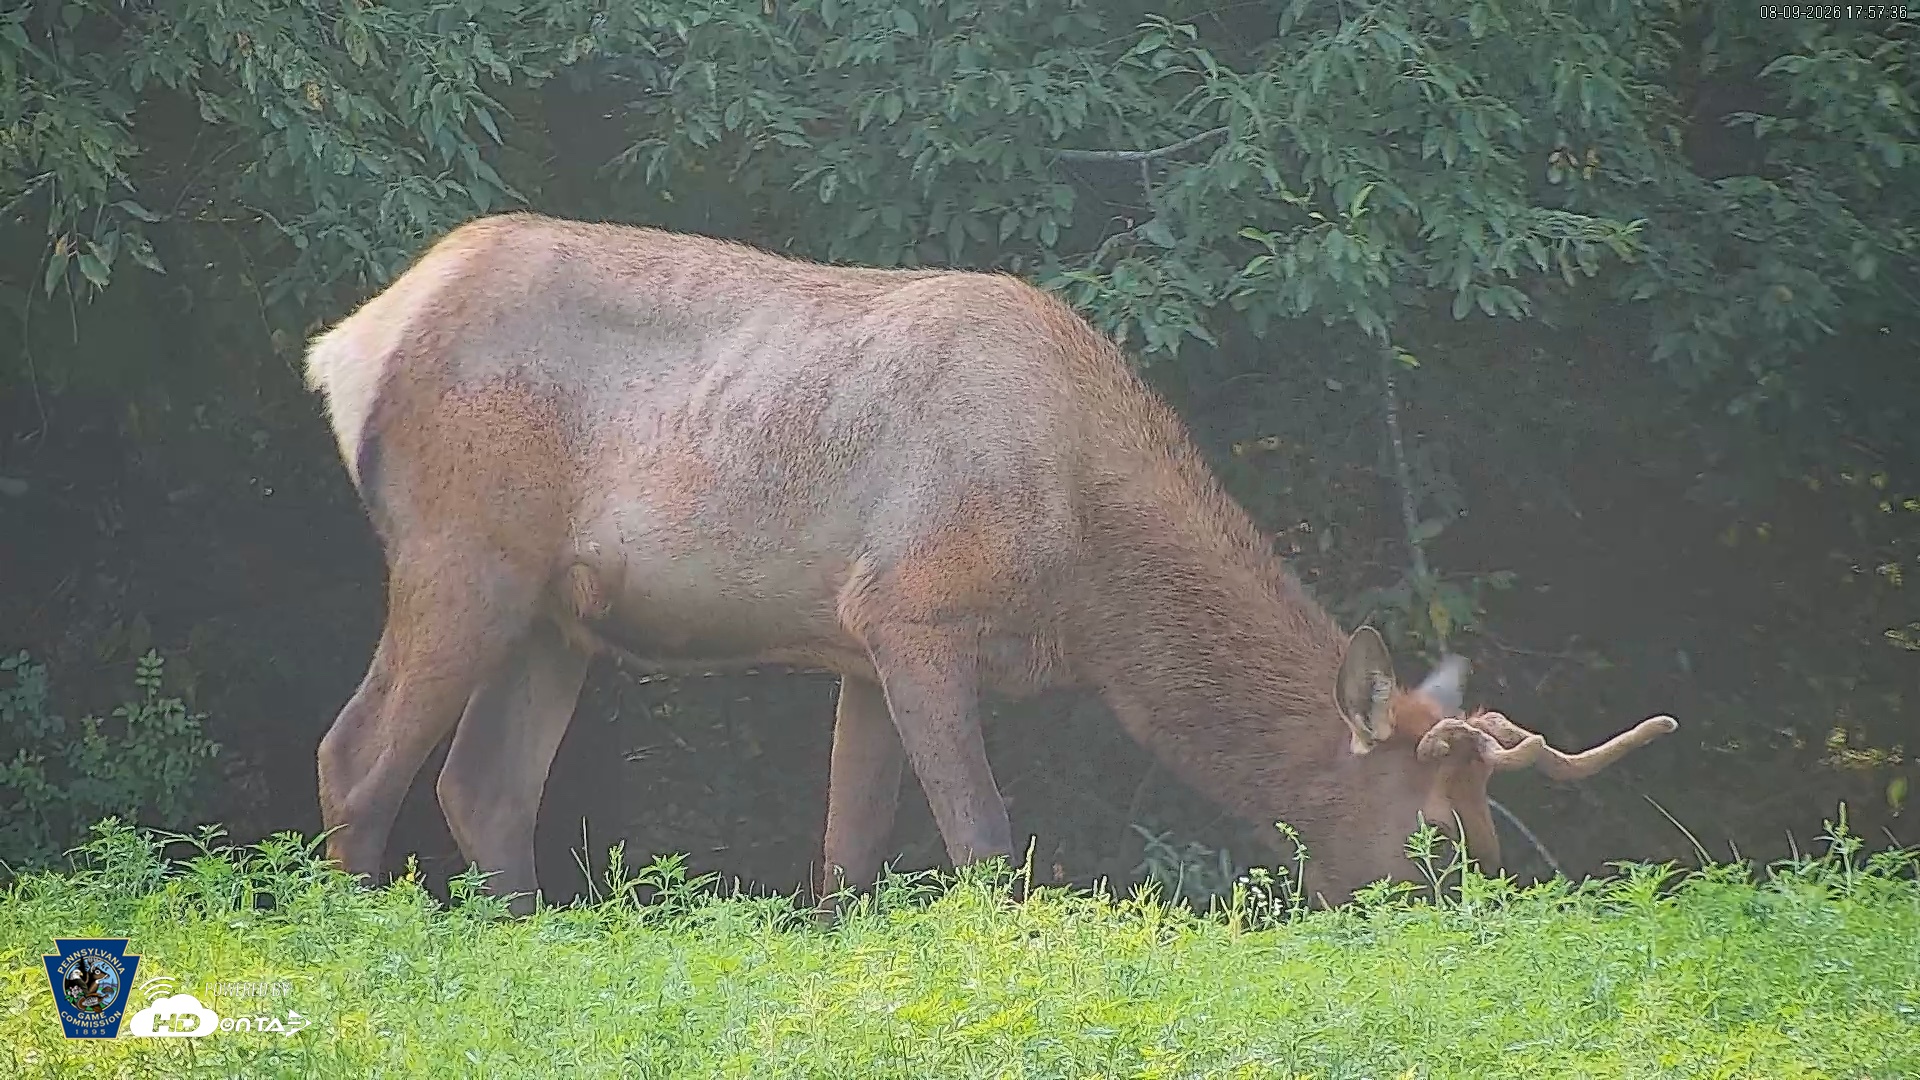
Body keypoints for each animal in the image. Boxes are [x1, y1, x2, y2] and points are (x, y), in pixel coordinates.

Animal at [305, 211, 1677, 916]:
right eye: (1441, 837)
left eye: (1495, 831)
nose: (1475, 921)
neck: (1085, 588)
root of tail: (350, 343)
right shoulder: (913, 607)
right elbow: (981, 835)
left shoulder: (856, 642)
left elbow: (848, 848)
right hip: (462, 552)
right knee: (357, 752)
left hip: (557, 614)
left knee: (484, 785)